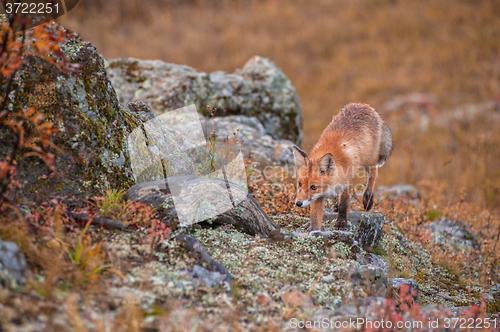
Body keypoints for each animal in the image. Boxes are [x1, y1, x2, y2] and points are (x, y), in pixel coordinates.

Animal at [292, 103, 392, 231]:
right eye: (299, 184)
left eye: (313, 187)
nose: (298, 203)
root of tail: (364, 105)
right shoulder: (318, 197)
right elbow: (315, 218)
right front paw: (314, 232)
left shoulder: (346, 183)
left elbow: (344, 205)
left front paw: (341, 223)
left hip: (368, 160)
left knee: (373, 172)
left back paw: (368, 198)